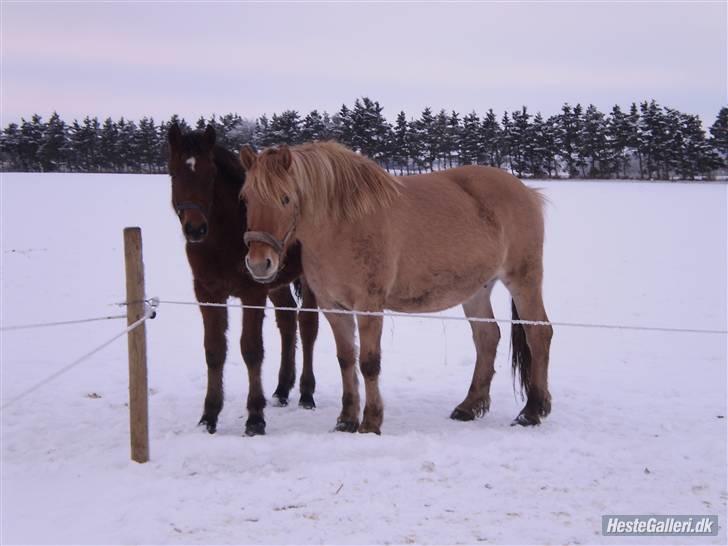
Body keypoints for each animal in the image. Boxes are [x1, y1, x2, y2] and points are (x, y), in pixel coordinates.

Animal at [171, 123, 322, 434]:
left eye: (210, 175)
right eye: (174, 173)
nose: (195, 229)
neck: (223, 237)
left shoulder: (252, 293)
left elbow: (251, 349)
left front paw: (255, 417)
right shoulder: (208, 294)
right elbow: (214, 350)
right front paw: (209, 415)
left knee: (307, 326)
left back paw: (306, 392)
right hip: (275, 282)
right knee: (287, 320)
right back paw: (281, 389)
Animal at [239, 141, 552, 434]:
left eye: (285, 198)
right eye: (246, 198)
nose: (259, 264)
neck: (341, 225)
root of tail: (527, 192)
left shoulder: (369, 306)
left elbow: (368, 362)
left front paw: (371, 422)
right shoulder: (333, 308)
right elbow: (346, 360)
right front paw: (346, 420)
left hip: (523, 280)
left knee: (539, 334)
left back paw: (532, 411)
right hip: (477, 289)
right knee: (487, 337)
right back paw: (469, 406)